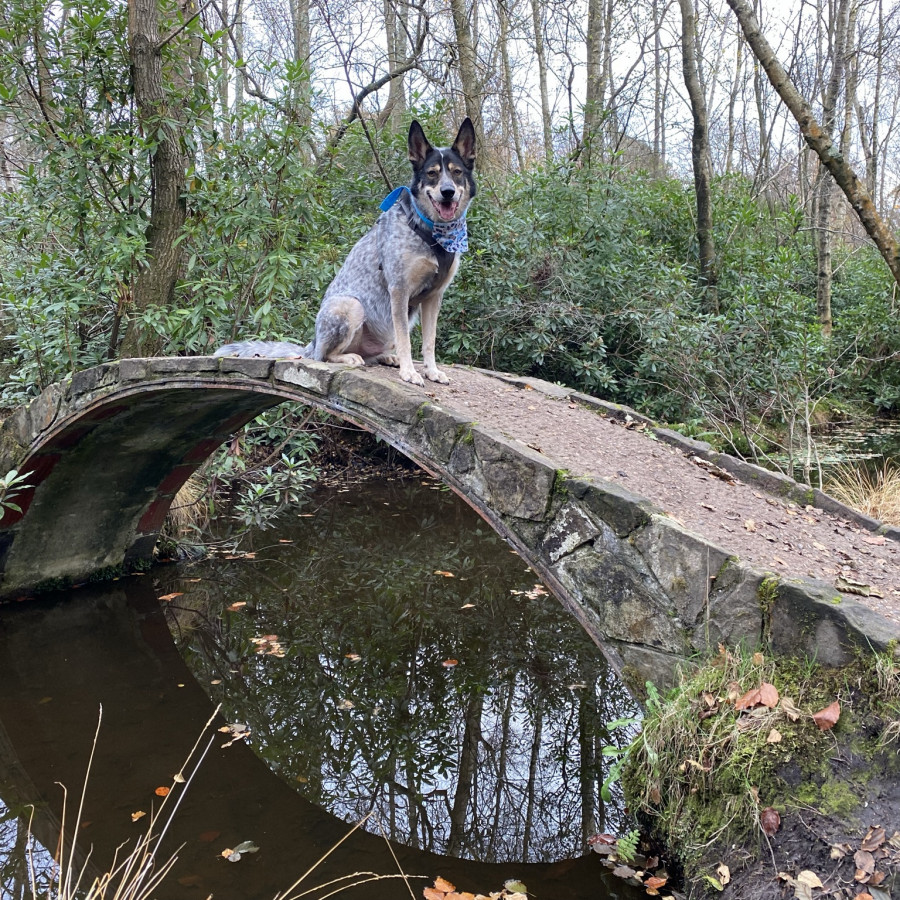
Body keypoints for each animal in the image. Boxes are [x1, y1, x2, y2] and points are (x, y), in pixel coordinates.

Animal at [215, 117, 478, 386]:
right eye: (432, 173)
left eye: (457, 172)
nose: (448, 192)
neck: (431, 232)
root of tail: (310, 345)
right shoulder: (399, 290)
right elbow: (406, 340)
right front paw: (409, 372)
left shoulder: (434, 297)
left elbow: (429, 342)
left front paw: (432, 371)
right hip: (351, 306)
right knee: (324, 356)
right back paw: (349, 357)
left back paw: (386, 357)